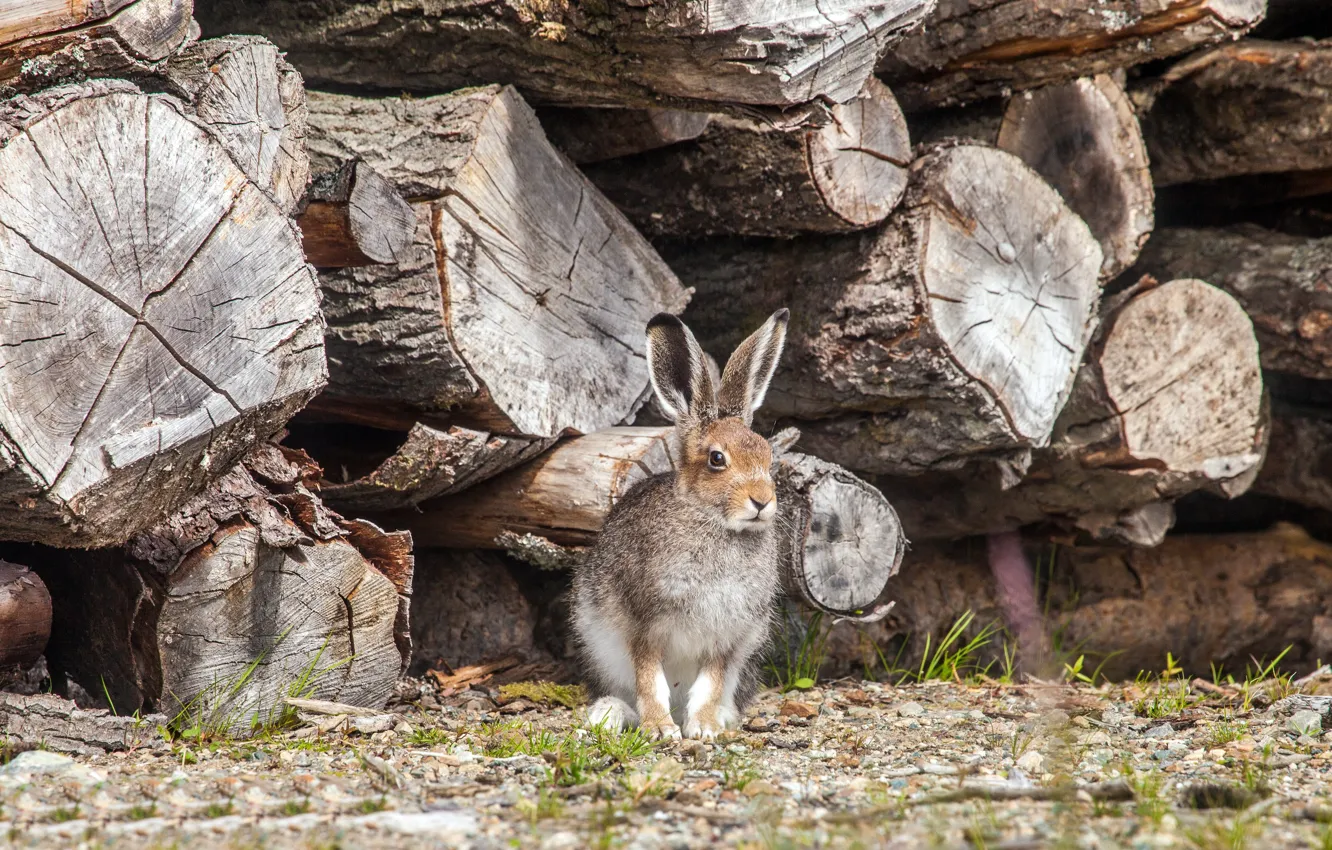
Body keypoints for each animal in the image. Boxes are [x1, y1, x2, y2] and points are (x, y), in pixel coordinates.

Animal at [571, 308, 790, 741]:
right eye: (717, 459)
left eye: (768, 456)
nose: (762, 501)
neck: (713, 521)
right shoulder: (644, 625)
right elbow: (649, 679)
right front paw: (660, 728)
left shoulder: (726, 638)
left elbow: (710, 685)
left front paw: (704, 728)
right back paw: (611, 714)